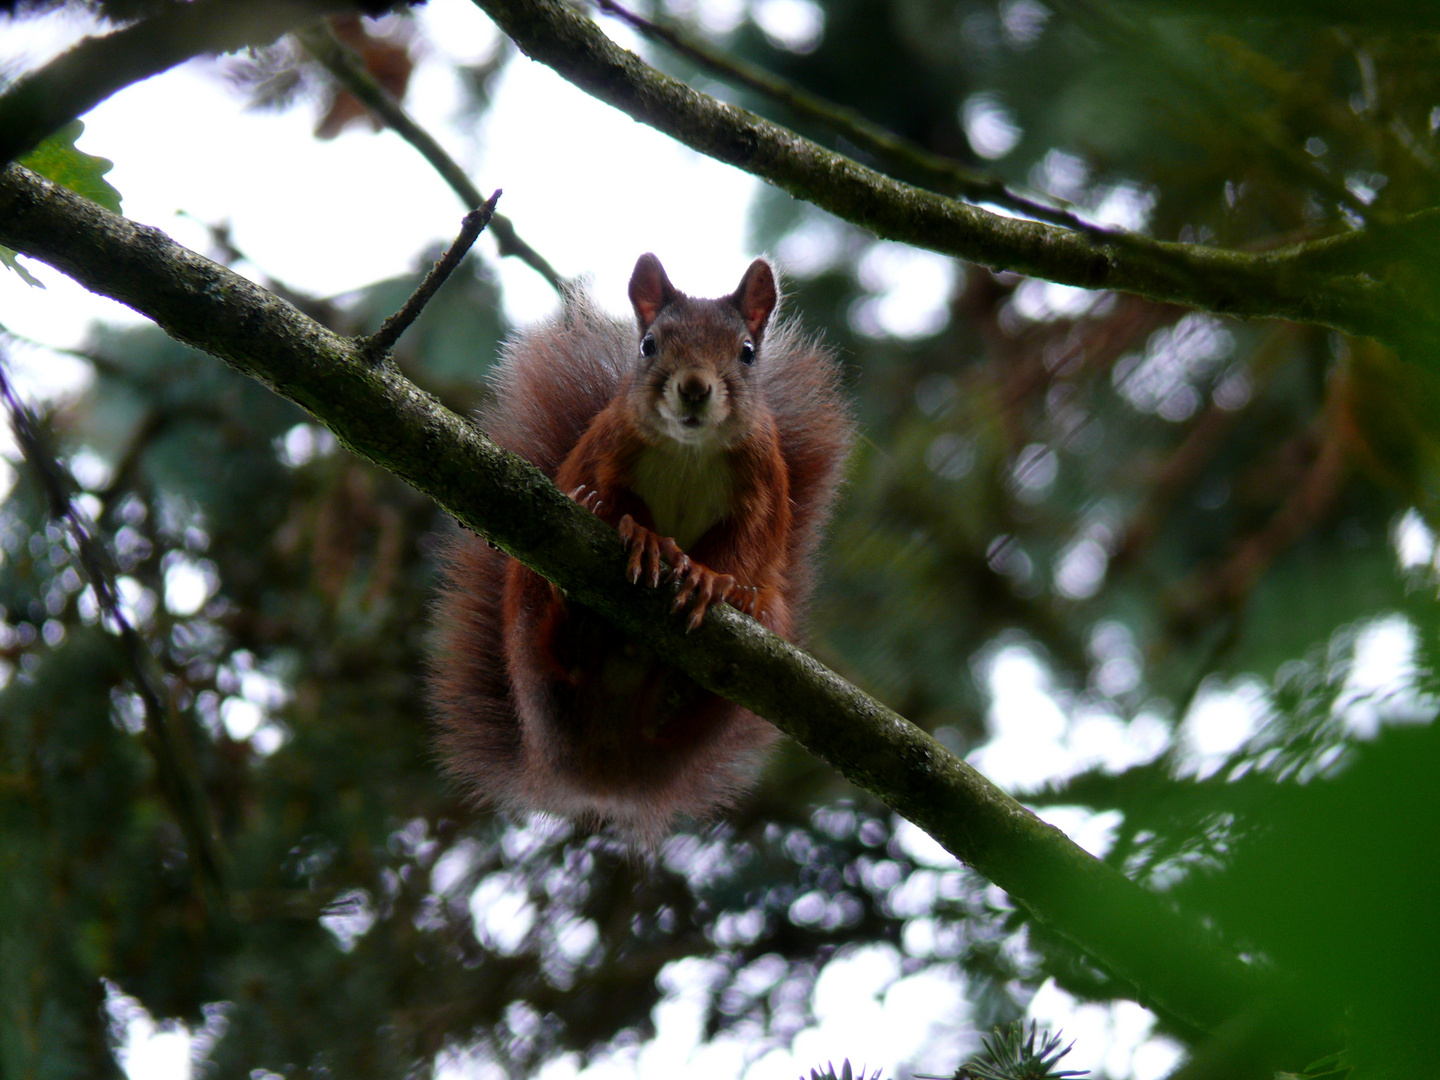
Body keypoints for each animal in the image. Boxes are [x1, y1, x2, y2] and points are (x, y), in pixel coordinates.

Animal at [426, 256, 852, 846]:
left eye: (747, 351)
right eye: (649, 345)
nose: (694, 387)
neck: (690, 450)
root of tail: (601, 770)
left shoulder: (762, 485)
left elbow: (748, 541)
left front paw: (711, 581)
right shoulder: (608, 449)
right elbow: (612, 501)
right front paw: (647, 540)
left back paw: (695, 671)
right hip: (528, 611)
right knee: (554, 645)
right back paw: (577, 621)